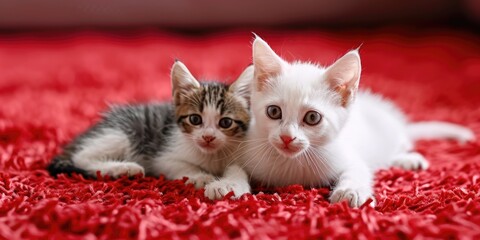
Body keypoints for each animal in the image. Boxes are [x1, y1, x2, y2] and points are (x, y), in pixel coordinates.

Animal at [47, 61, 255, 193]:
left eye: (225, 123)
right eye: (195, 119)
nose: (208, 137)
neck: (212, 155)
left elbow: (239, 170)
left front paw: (229, 186)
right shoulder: (163, 156)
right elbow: (180, 166)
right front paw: (200, 177)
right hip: (125, 131)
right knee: (81, 157)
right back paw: (122, 168)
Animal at [218, 36, 476, 207]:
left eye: (312, 117)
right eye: (273, 112)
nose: (286, 137)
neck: (293, 164)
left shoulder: (347, 155)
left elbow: (358, 169)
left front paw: (350, 190)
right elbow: (234, 166)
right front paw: (228, 185)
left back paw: (407, 159)